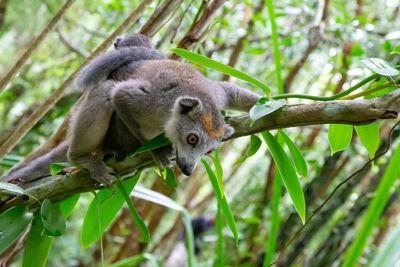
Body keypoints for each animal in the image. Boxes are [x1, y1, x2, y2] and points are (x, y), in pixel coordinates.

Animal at [3, 34, 262, 186]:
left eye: (209, 151)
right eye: (192, 139)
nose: (188, 170)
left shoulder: (216, 96)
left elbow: (231, 91)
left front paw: (268, 102)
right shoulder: (153, 103)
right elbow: (120, 96)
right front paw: (157, 152)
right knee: (106, 91)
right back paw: (81, 157)